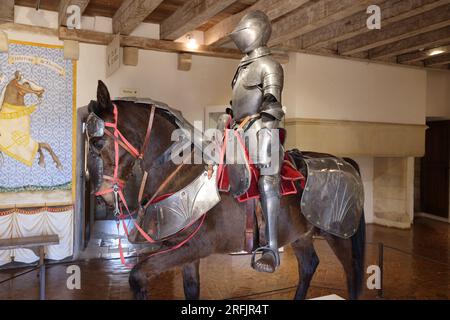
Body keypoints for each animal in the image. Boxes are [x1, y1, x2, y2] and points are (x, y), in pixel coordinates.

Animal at [85, 80, 366, 300]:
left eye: (98, 142)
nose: (103, 195)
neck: (180, 173)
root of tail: (342, 161)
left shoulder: (194, 247)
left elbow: (137, 275)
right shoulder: (185, 250)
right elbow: (191, 289)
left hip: (338, 234)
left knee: (352, 272)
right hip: (301, 235)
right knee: (309, 265)